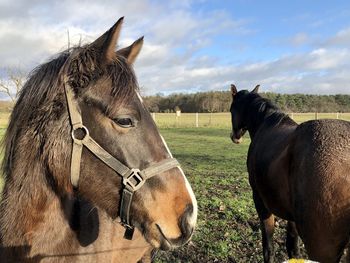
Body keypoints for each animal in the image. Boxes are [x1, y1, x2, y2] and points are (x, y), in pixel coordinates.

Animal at [230, 85, 350, 263]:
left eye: (231, 109)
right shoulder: (292, 217)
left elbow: (268, 246)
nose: (235, 136)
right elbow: (293, 248)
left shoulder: (260, 201)